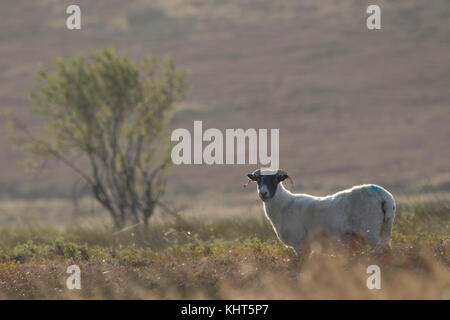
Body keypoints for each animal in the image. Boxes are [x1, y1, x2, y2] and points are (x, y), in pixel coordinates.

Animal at [244, 169, 396, 256]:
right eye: (258, 179)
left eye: (275, 179)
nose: (263, 193)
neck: (284, 205)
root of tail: (383, 197)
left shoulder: (300, 244)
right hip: (386, 229)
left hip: (370, 232)